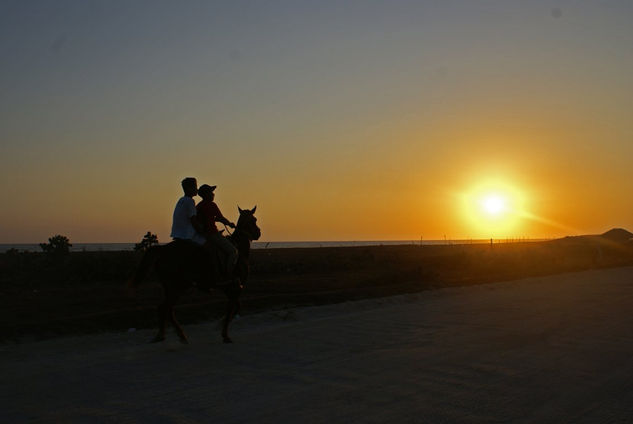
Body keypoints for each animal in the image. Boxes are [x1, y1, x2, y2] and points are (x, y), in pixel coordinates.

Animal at [128, 206, 260, 344]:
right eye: (254, 219)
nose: (258, 233)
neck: (239, 249)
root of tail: (163, 249)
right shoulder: (235, 288)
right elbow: (232, 309)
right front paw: (224, 333)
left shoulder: (229, 289)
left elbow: (236, 307)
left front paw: (220, 325)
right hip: (176, 288)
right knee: (165, 308)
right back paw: (175, 335)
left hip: (170, 288)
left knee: (165, 309)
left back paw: (166, 335)